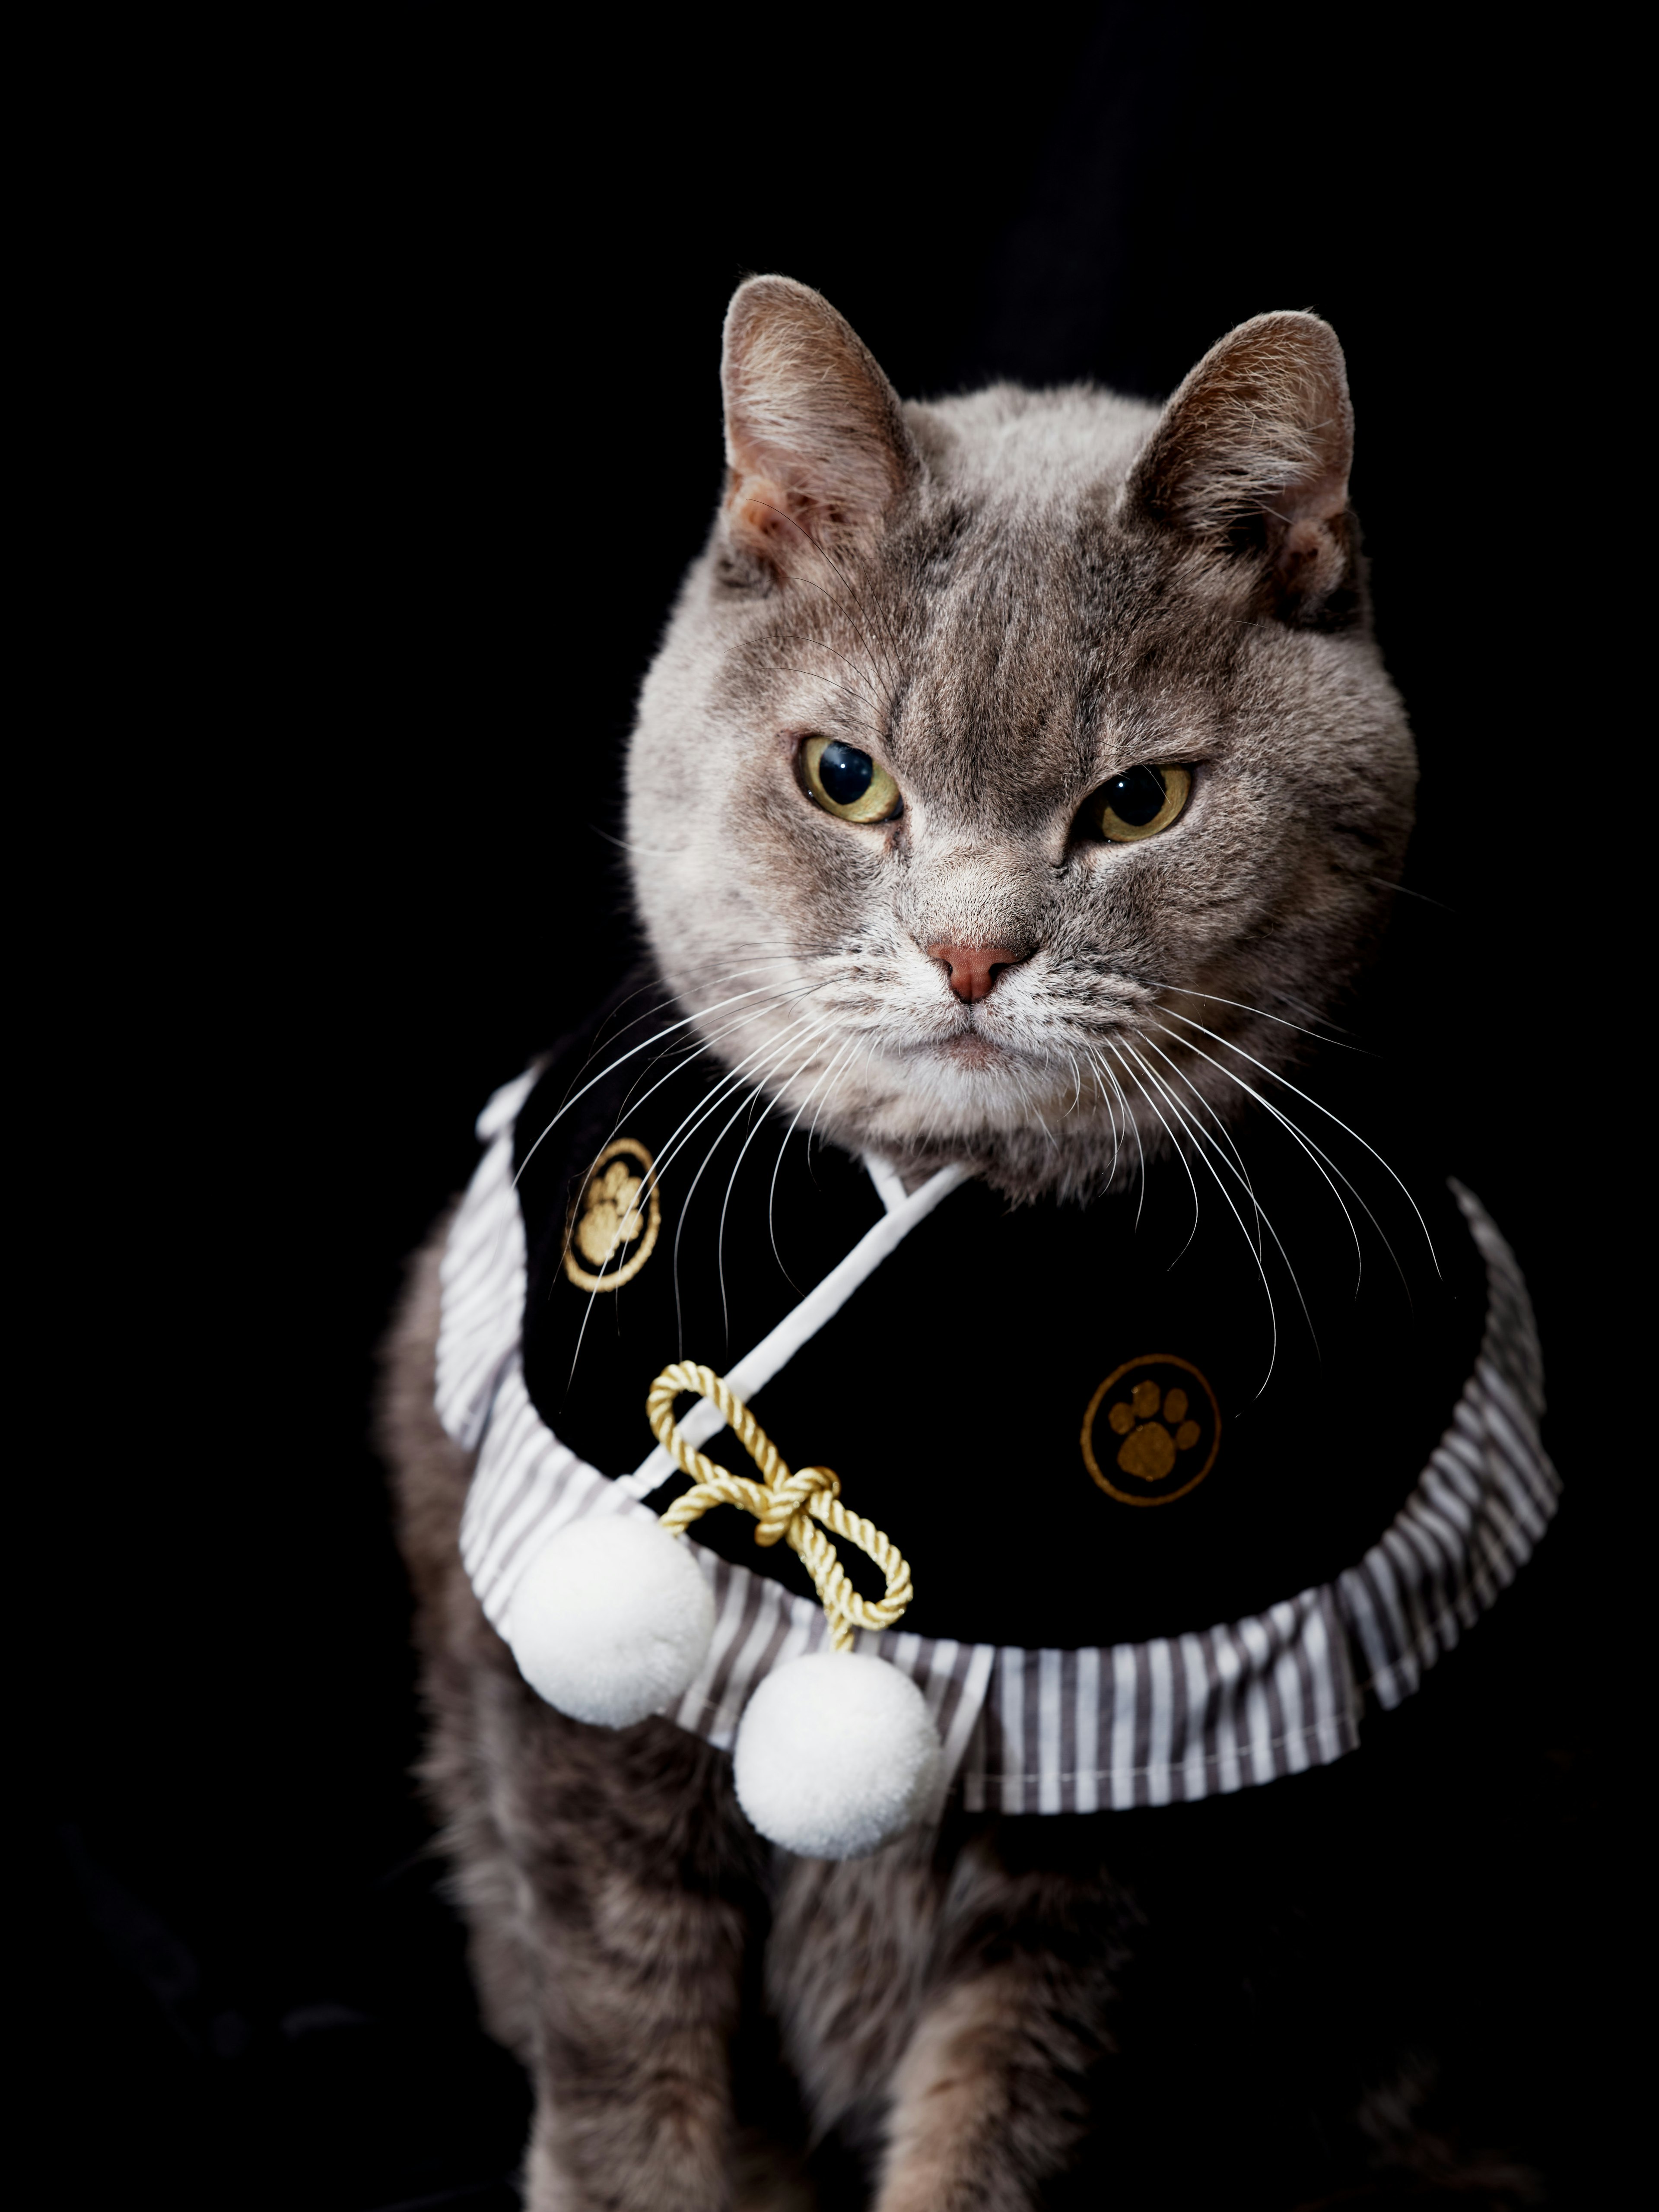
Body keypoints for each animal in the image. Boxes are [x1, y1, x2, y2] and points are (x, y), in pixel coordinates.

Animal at [380, 281, 1557, 2212]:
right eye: (846, 778)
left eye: (1141, 802)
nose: (972, 954)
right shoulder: (575, 1725)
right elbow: (629, 2048)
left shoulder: (1151, 1785)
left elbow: (1012, 2104)